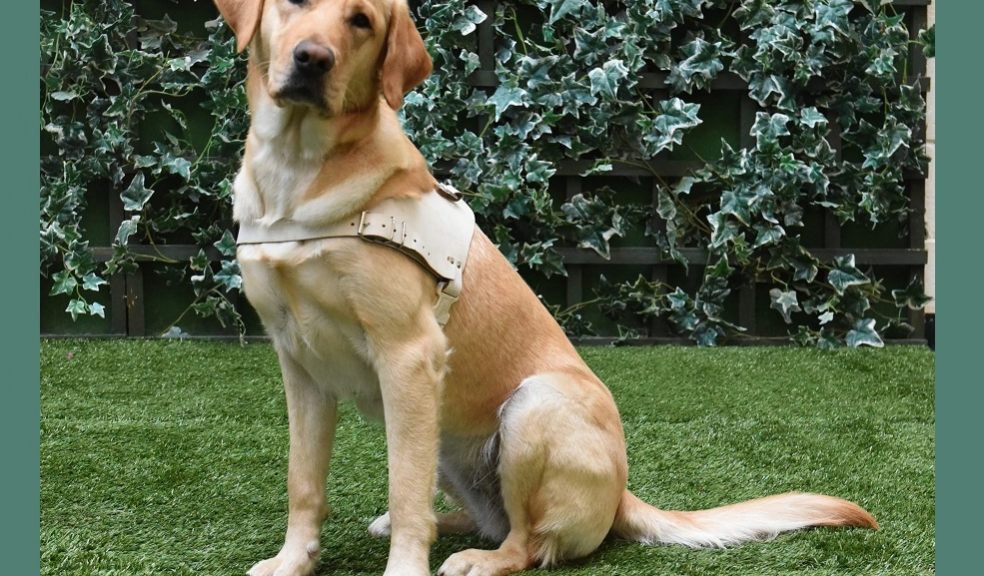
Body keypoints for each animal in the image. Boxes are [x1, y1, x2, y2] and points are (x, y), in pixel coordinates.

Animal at [211, 1, 872, 576]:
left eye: (362, 20)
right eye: (296, 4)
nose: (312, 59)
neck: (296, 176)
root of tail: (623, 493)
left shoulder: (409, 356)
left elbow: (405, 489)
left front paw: (403, 568)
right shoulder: (300, 364)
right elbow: (304, 482)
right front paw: (293, 562)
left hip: (532, 406)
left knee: (526, 541)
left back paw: (476, 559)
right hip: (451, 440)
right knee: (485, 516)